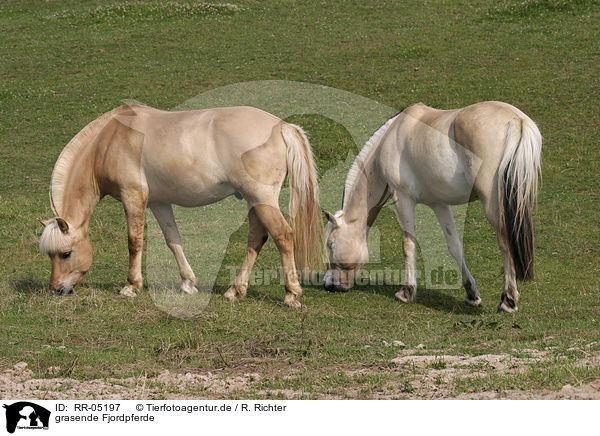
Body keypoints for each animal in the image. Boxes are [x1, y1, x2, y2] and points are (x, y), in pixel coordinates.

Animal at [39, 104, 322, 310]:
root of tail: (281, 126)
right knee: (256, 238)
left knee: (283, 236)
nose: (56, 290)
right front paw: (187, 283)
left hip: (261, 199)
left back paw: (291, 294)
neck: (109, 141)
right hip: (254, 201)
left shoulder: (133, 198)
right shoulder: (159, 203)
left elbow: (134, 242)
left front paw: (131, 286)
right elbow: (172, 239)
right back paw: (235, 290)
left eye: (65, 253)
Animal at [326, 101, 540, 314]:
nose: (329, 284)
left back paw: (508, 300)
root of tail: (515, 118)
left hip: (493, 206)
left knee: (505, 243)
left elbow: (408, 245)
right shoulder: (440, 204)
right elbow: (455, 247)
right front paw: (471, 294)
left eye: (330, 244)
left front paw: (406, 292)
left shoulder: (403, 199)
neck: (391, 137)